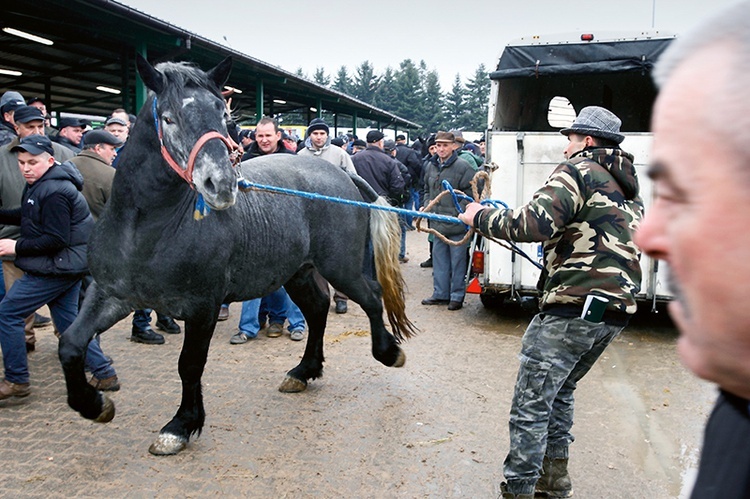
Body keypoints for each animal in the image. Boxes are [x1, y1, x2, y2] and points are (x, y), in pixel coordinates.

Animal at [58, 55, 418, 458]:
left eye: (224, 114)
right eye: (167, 117)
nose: (221, 184)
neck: (143, 228)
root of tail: (341, 175)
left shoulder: (202, 305)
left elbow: (189, 365)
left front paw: (180, 426)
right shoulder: (112, 294)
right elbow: (70, 343)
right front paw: (93, 404)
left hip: (340, 266)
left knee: (370, 296)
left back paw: (387, 352)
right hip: (298, 271)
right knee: (317, 308)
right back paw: (303, 371)